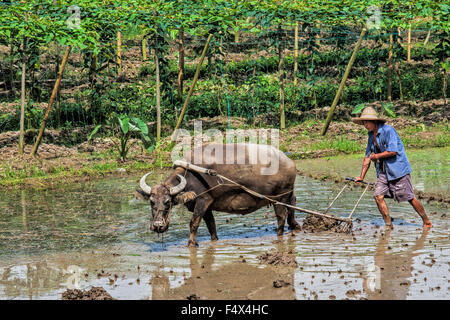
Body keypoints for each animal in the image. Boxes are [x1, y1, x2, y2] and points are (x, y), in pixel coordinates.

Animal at [136, 144, 298, 246]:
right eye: (152, 202)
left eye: (168, 202)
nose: (158, 225)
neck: (190, 175)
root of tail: (289, 162)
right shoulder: (208, 207)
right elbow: (211, 225)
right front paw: (214, 239)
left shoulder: (203, 200)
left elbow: (194, 223)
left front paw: (191, 243)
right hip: (288, 194)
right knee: (292, 207)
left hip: (280, 197)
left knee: (281, 217)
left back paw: (279, 234)